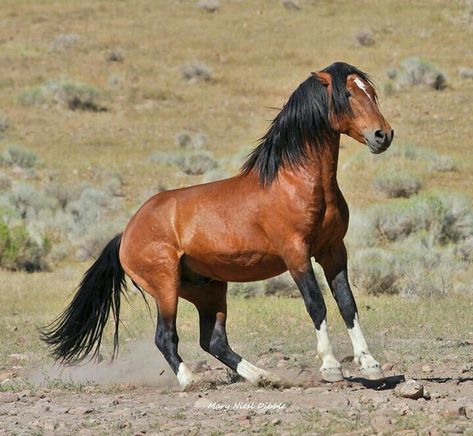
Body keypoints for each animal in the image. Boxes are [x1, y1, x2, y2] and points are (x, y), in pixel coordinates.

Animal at [42, 61, 392, 388]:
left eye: (371, 93)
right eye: (348, 95)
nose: (383, 135)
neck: (295, 183)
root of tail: (126, 233)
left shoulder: (333, 251)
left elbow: (347, 303)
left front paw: (370, 364)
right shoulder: (296, 253)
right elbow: (316, 305)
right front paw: (331, 368)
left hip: (208, 290)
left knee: (214, 341)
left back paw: (265, 376)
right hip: (165, 287)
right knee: (165, 337)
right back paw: (192, 381)